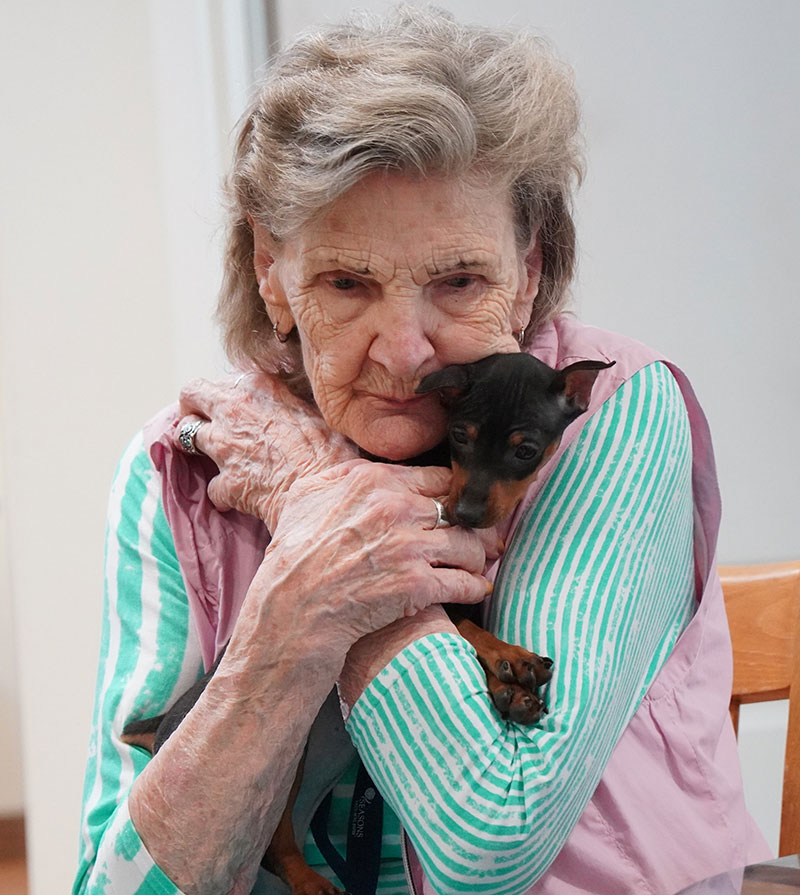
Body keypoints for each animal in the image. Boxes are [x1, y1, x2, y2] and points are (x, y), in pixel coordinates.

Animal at [121, 351, 614, 894]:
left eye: (525, 450)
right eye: (459, 435)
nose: (465, 514)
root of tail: (164, 725)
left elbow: (466, 623)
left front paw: (510, 687)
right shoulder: (428, 577)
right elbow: (463, 627)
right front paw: (509, 661)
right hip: (280, 749)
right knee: (269, 843)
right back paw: (311, 883)